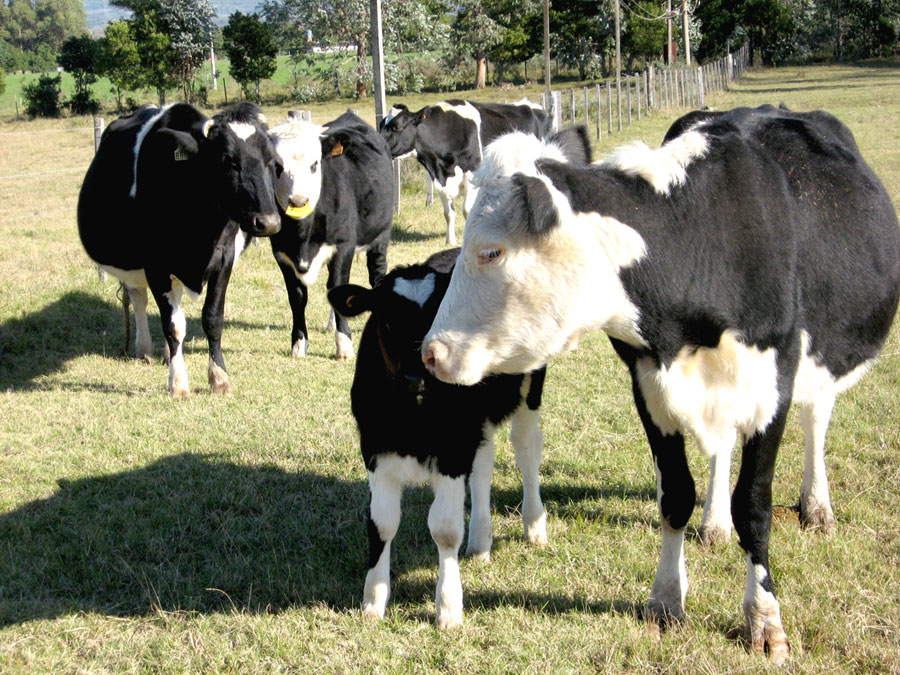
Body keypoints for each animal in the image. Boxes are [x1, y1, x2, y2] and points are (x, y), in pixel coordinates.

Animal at [77, 102, 282, 397]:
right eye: (227, 160)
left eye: (272, 161)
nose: (268, 222)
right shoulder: (156, 265)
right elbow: (173, 325)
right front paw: (178, 383)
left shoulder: (225, 257)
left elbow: (212, 318)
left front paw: (219, 377)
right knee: (139, 298)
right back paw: (144, 348)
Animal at [269, 110, 393, 359]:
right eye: (277, 165)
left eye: (315, 164)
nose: (298, 201)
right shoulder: (281, 253)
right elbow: (297, 296)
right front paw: (299, 344)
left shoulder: (343, 245)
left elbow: (337, 284)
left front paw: (344, 345)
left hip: (381, 236)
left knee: (376, 273)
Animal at [327, 248, 548, 629]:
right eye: (386, 320)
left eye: (440, 315)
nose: (416, 375)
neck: (414, 415)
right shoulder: (375, 449)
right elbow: (381, 524)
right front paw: (373, 600)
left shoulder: (452, 449)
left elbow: (445, 529)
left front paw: (448, 607)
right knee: (484, 465)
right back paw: (480, 542)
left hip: (529, 387)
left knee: (527, 449)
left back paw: (534, 526)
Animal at [380, 99, 553, 245]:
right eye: (381, 125)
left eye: (397, 127)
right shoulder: (439, 180)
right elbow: (448, 213)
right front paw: (450, 241)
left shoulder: (472, 173)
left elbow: (467, 211)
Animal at [421, 104, 900, 662]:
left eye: (492, 252)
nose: (431, 352)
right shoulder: (648, 387)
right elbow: (676, 495)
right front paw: (667, 600)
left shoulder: (773, 386)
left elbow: (755, 507)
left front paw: (764, 618)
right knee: (720, 447)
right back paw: (715, 523)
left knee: (816, 417)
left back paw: (816, 504)